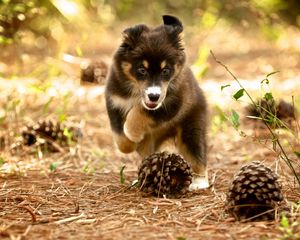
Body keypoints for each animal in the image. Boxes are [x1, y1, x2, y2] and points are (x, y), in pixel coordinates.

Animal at [105, 15, 209, 190]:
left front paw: (132, 133)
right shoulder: (114, 102)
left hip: (191, 128)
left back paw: (199, 182)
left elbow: (141, 112)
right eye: (142, 69)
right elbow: (120, 137)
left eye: (165, 70)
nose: (154, 96)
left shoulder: (173, 103)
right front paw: (129, 144)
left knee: (196, 154)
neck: (136, 93)